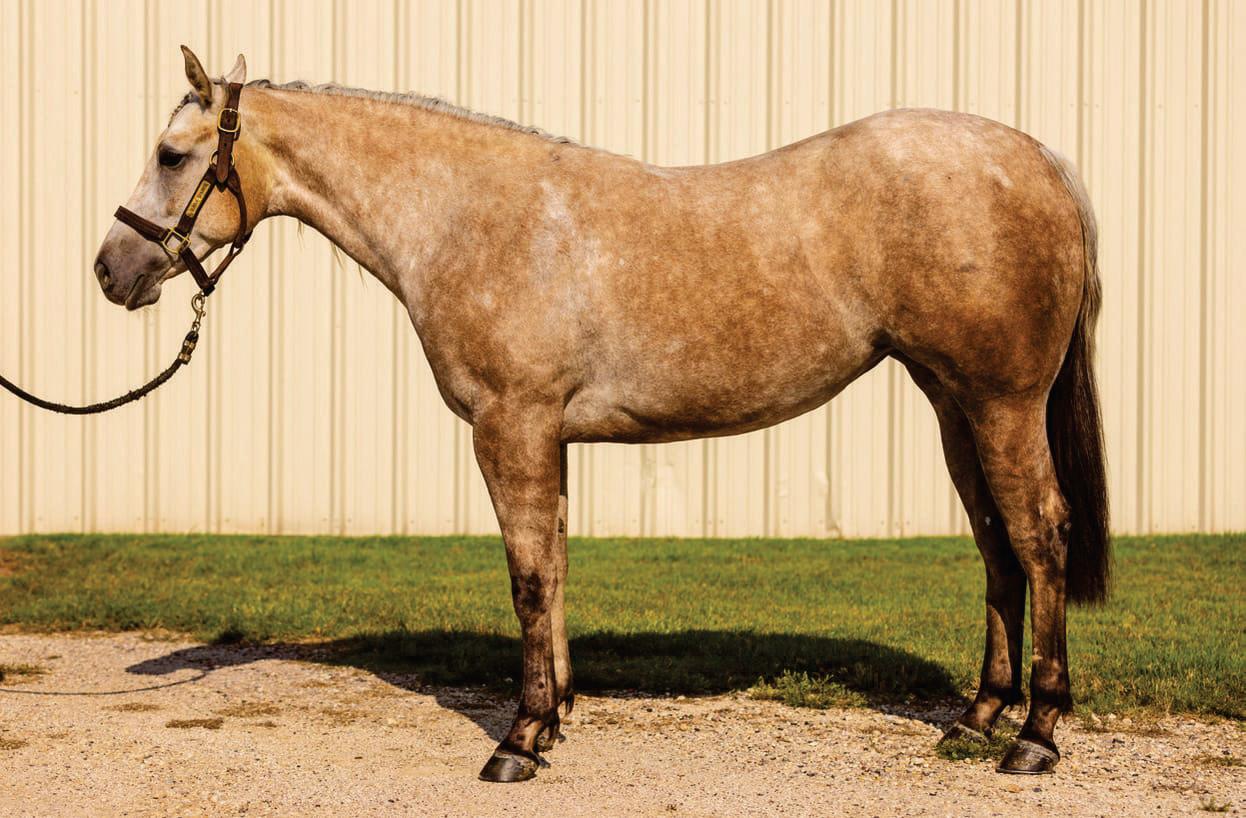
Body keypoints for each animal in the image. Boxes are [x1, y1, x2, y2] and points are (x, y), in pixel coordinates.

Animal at [93, 47, 1109, 782]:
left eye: (172, 156)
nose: (110, 270)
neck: (468, 218)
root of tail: (1037, 159)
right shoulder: (547, 438)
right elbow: (557, 567)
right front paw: (554, 721)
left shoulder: (510, 428)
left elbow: (528, 578)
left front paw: (517, 741)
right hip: (953, 403)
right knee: (995, 546)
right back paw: (977, 719)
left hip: (1002, 403)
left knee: (1040, 536)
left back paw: (1036, 736)